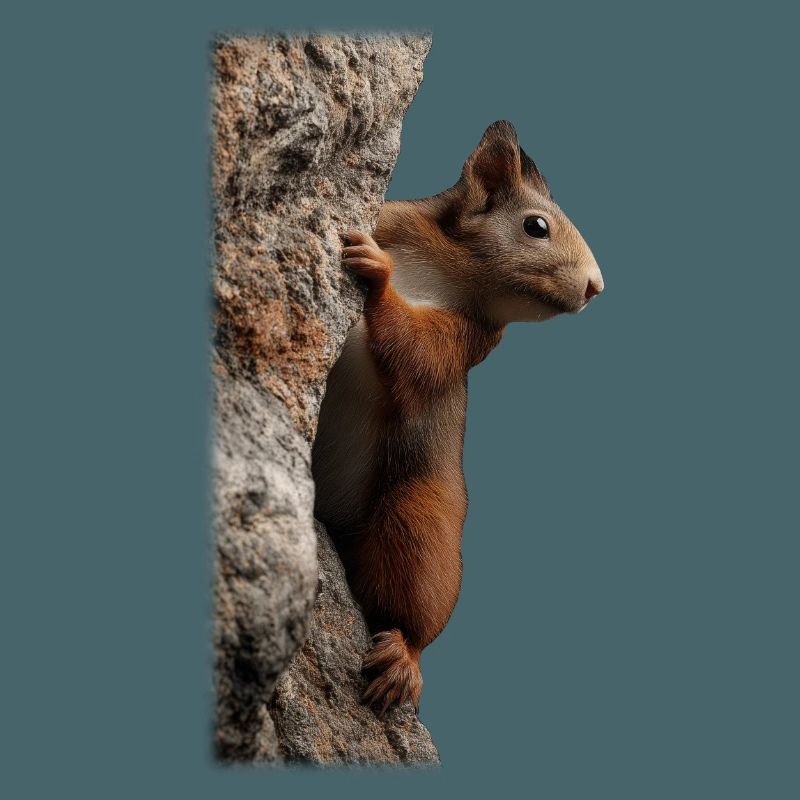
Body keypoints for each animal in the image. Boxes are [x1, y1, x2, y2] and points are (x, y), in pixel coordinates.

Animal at [312, 120, 604, 715]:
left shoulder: (468, 339)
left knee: (414, 596)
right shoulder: (396, 219)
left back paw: (403, 656)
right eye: (536, 226)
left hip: (422, 516)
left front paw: (379, 277)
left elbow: (418, 354)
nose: (596, 286)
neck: (453, 266)